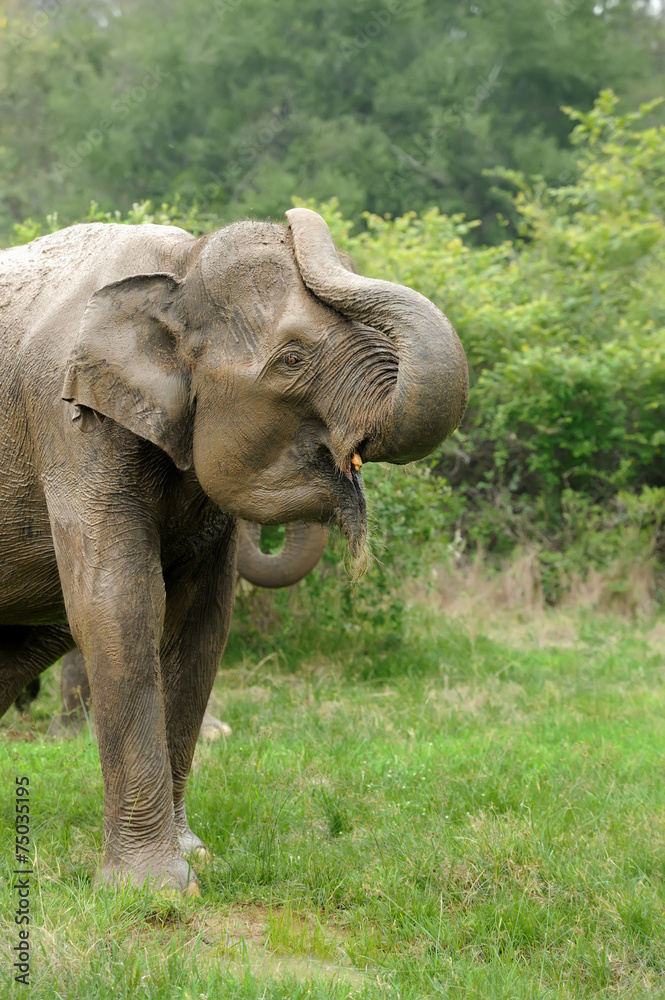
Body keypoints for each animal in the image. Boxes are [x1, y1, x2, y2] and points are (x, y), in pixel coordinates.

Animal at [0, 207, 468, 892]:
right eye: (292, 359)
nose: (297, 214)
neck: (181, 266)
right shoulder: (72, 425)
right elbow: (119, 604)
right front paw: (153, 888)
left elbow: (202, 624)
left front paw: (195, 856)